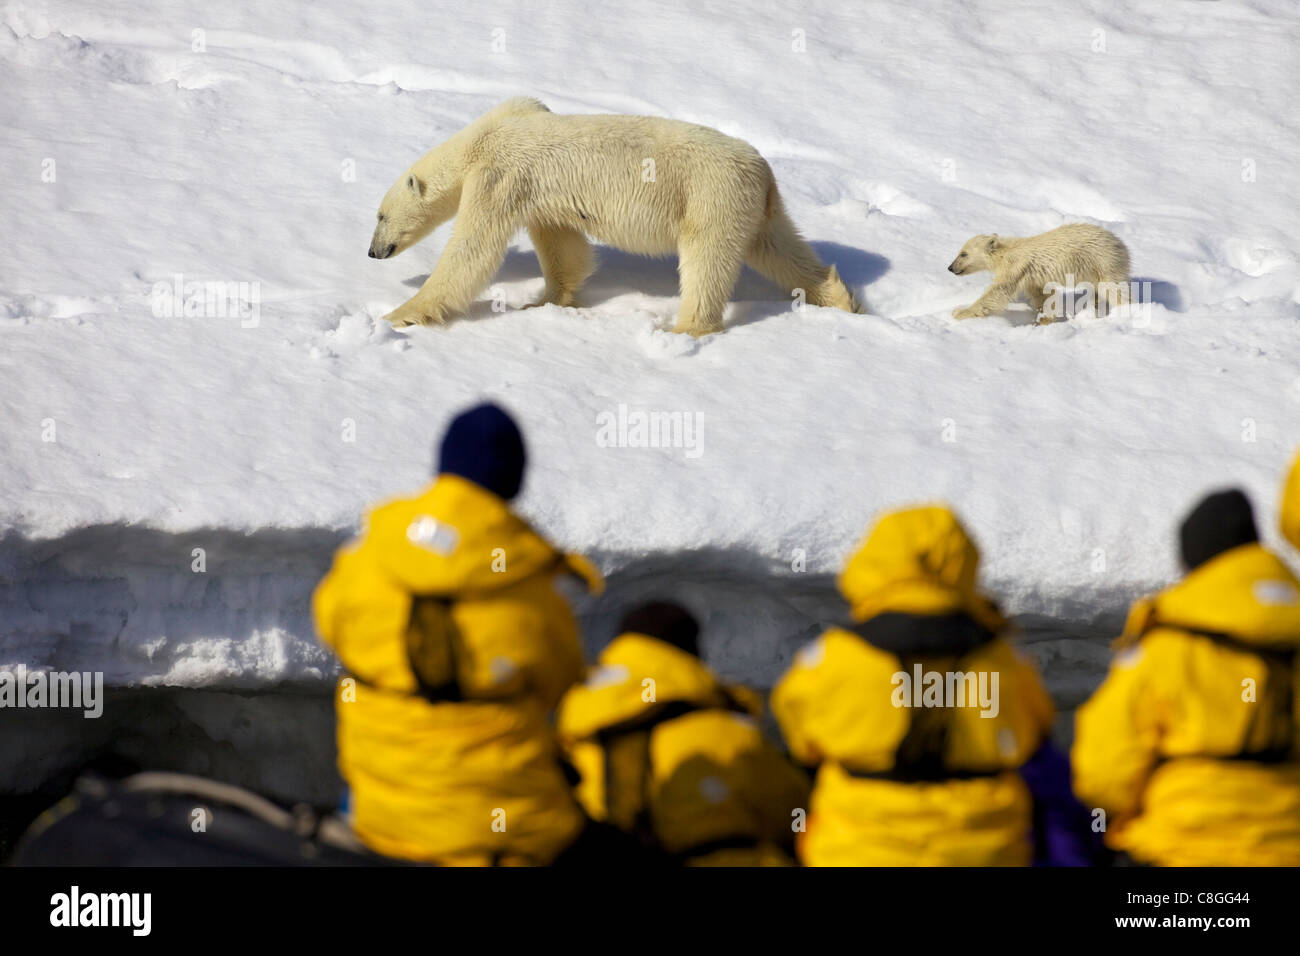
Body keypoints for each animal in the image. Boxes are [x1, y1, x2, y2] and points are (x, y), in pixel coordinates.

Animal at [369, 97, 863, 335]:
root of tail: (763, 173)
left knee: (706, 261)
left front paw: (398, 314)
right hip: (755, 208)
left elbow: (470, 253)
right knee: (779, 248)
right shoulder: (524, 124)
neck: (479, 141)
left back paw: (685, 328)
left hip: (710, 196)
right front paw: (545, 300)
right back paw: (841, 298)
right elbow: (562, 245)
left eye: (379, 215)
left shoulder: (498, 177)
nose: (372, 253)